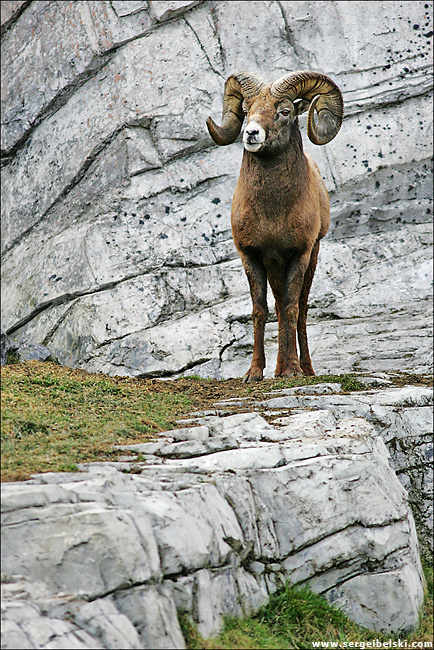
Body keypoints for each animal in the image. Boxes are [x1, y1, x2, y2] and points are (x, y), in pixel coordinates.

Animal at [206, 71, 344, 382]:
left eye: (285, 112)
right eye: (246, 111)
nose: (251, 134)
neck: (272, 215)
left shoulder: (299, 255)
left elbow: (293, 309)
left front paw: (293, 371)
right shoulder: (252, 256)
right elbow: (260, 310)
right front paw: (254, 373)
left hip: (311, 257)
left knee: (299, 310)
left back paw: (303, 369)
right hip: (274, 268)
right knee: (279, 307)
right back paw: (278, 369)